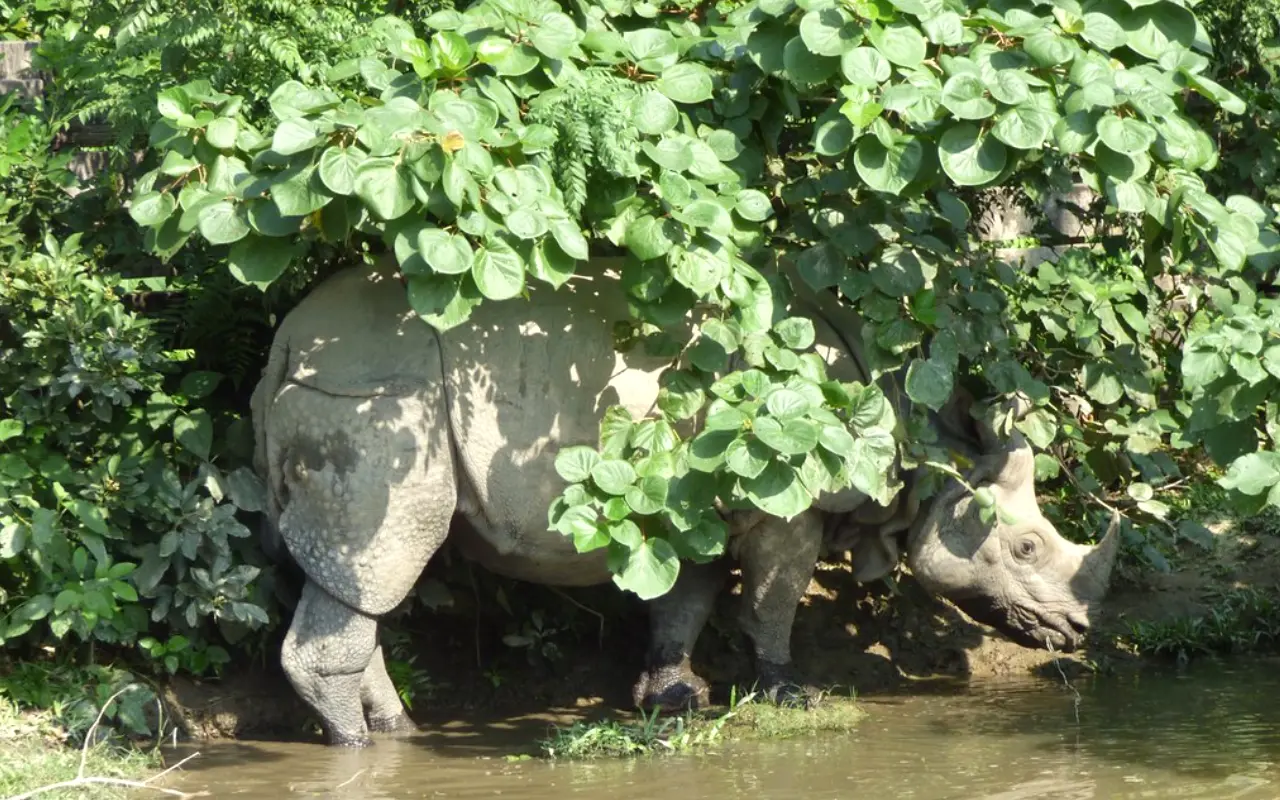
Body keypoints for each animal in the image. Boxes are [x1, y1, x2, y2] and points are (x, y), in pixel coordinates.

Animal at [249, 256, 1120, 747]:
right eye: (1027, 548)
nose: (1077, 632)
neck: (924, 446)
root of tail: (288, 337)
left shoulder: (702, 497)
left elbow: (687, 598)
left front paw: (672, 699)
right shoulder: (787, 501)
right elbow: (773, 599)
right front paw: (791, 695)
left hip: (349, 391)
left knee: (357, 580)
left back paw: (397, 729)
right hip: (375, 401)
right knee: (381, 554)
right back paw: (359, 747)